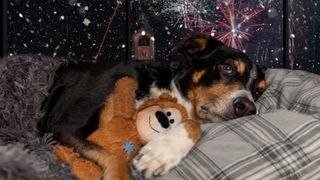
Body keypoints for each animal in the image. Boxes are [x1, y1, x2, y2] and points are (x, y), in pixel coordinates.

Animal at [38, 33, 268, 179]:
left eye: (258, 91)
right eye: (227, 67)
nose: (247, 107)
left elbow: (194, 125)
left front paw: (162, 153)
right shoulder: (63, 127)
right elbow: (114, 156)